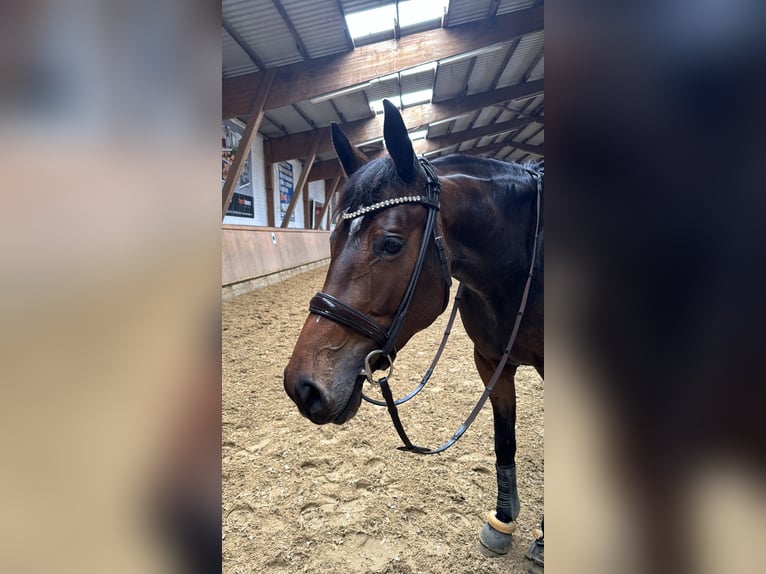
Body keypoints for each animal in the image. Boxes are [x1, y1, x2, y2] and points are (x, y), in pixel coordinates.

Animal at [284, 100, 544, 560]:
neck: (520, 268)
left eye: (390, 243)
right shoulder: (491, 363)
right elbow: (504, 440)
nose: (303, 386)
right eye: (330, 240)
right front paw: (503, 521)